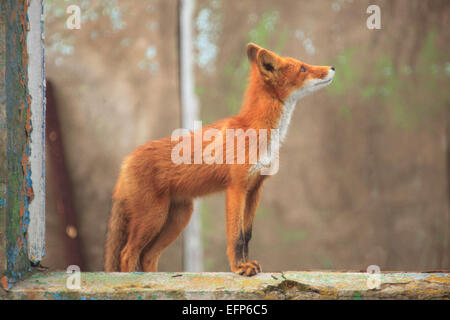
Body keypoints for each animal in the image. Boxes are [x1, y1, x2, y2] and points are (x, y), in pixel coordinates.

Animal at [103, 43, 332, 276]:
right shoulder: (236, 188)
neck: (256, 131)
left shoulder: (255, 189)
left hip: (178, 218)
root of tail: (126, 160)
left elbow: (247, 235)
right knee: (127, 253)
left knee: (148, 256)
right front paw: (239, 268)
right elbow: (236, 237)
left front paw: (245, 264)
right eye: (303, 68)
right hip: (153, 216)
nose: (331, 68)